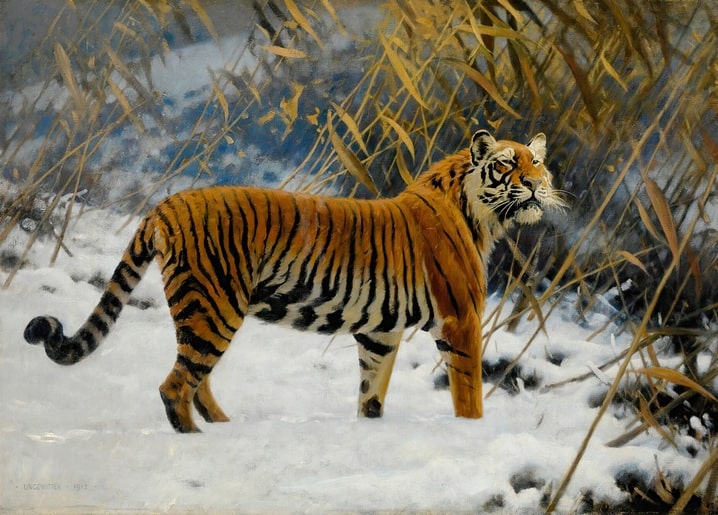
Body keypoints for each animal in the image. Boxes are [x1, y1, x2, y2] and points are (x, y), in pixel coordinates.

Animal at [24, 129, 565, 433]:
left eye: (538, 161)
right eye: (508, 163)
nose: (536, 184)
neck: (483, 215)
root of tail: (167, 202)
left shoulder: (379, 333)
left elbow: (371, 393)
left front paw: (370, 431)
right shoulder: (461, 319)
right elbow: (468, 395)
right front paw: (471, 434)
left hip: (202, 311)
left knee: (195, 379)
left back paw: (224, 429)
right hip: (215, 307)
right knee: (175, 386)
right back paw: (198, 440)